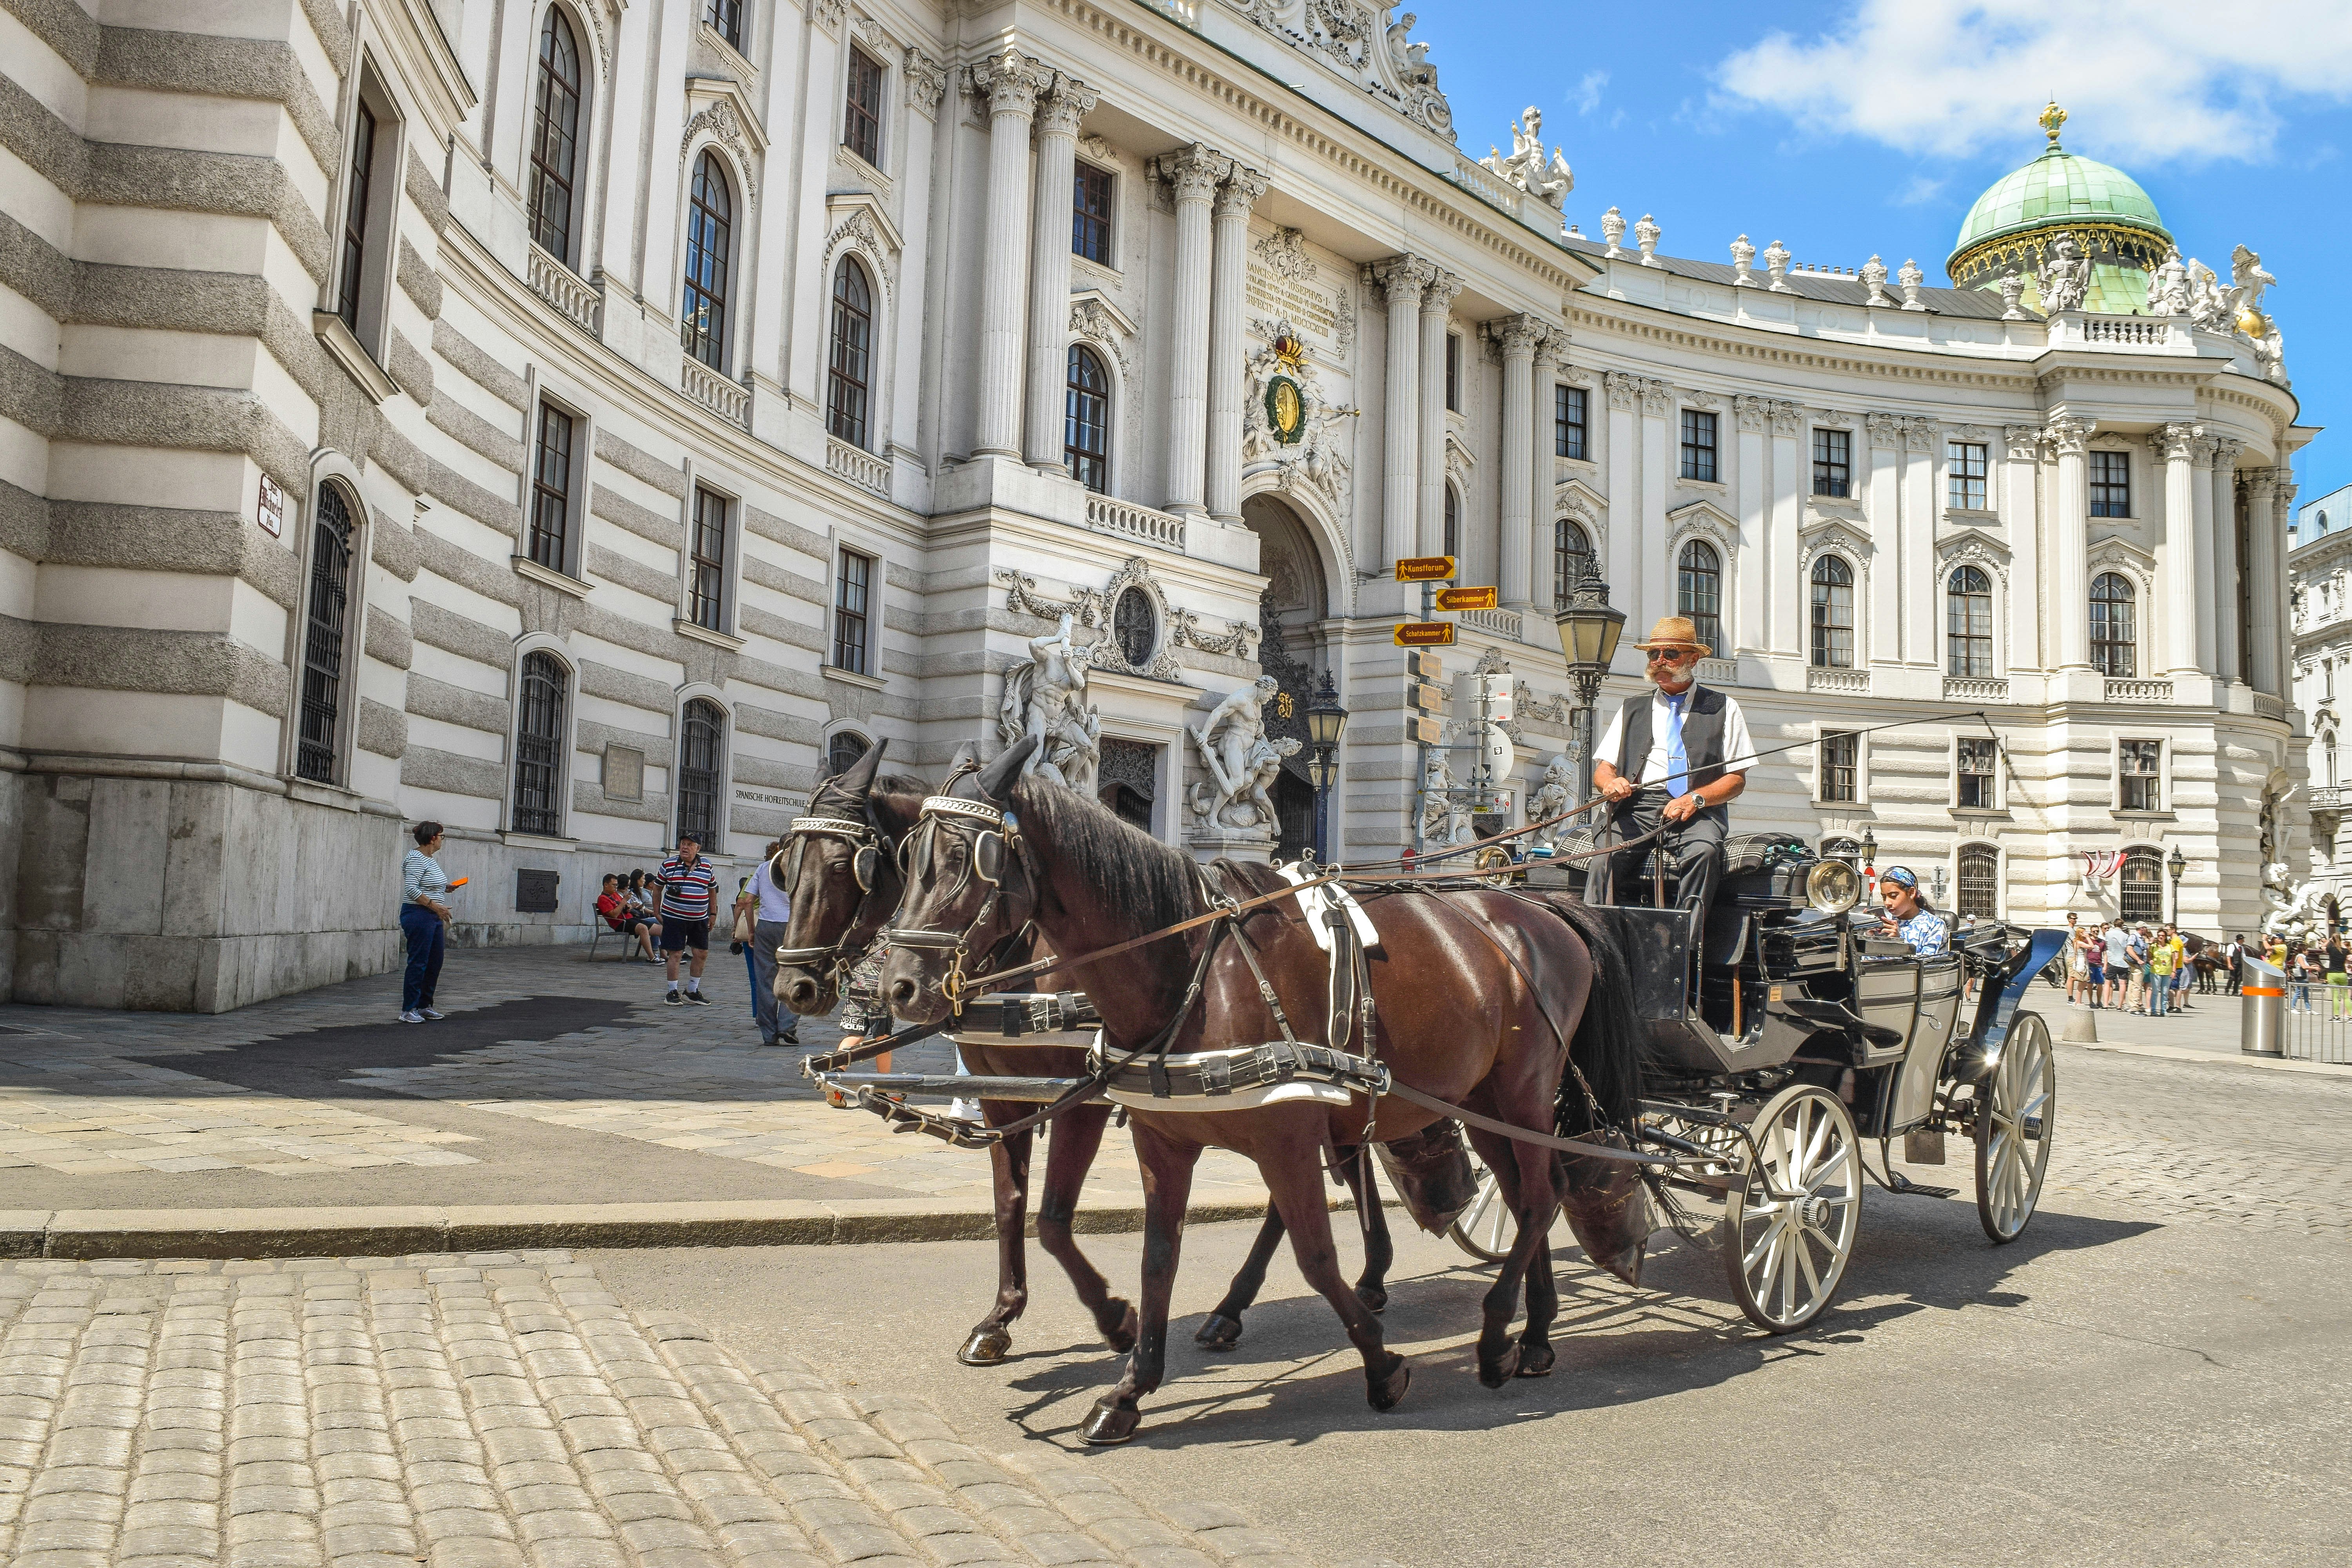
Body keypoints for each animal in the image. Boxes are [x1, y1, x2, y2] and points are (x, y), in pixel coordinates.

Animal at [769, 738, 1395, 1367]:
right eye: (785, 866)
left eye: (843, 865)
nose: (793, 987)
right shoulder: (1001, 1097)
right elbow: (1009, 1204)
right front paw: (1000, 1317)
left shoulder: (1083, 1098)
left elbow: (1052, 1218)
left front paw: (1116, 1319)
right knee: (1335, 1162)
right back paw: (1344, 1281)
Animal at [878, 737, 1651, 1444]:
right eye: (906, 859)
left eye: (964, 859)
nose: (898, 987)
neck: (1191, 967)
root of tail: (1546, 908)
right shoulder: (1162, 1141)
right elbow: (1157, 1258)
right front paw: (1129, 1385)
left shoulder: (1279, 1132)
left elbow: (1315, 1257)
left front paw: (1381, 1365)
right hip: (1480, 1101)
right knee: (1527, 1196)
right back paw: (1537, 1336)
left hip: (1523, 1090)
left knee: (1543, 1196)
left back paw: (1495, 1338)